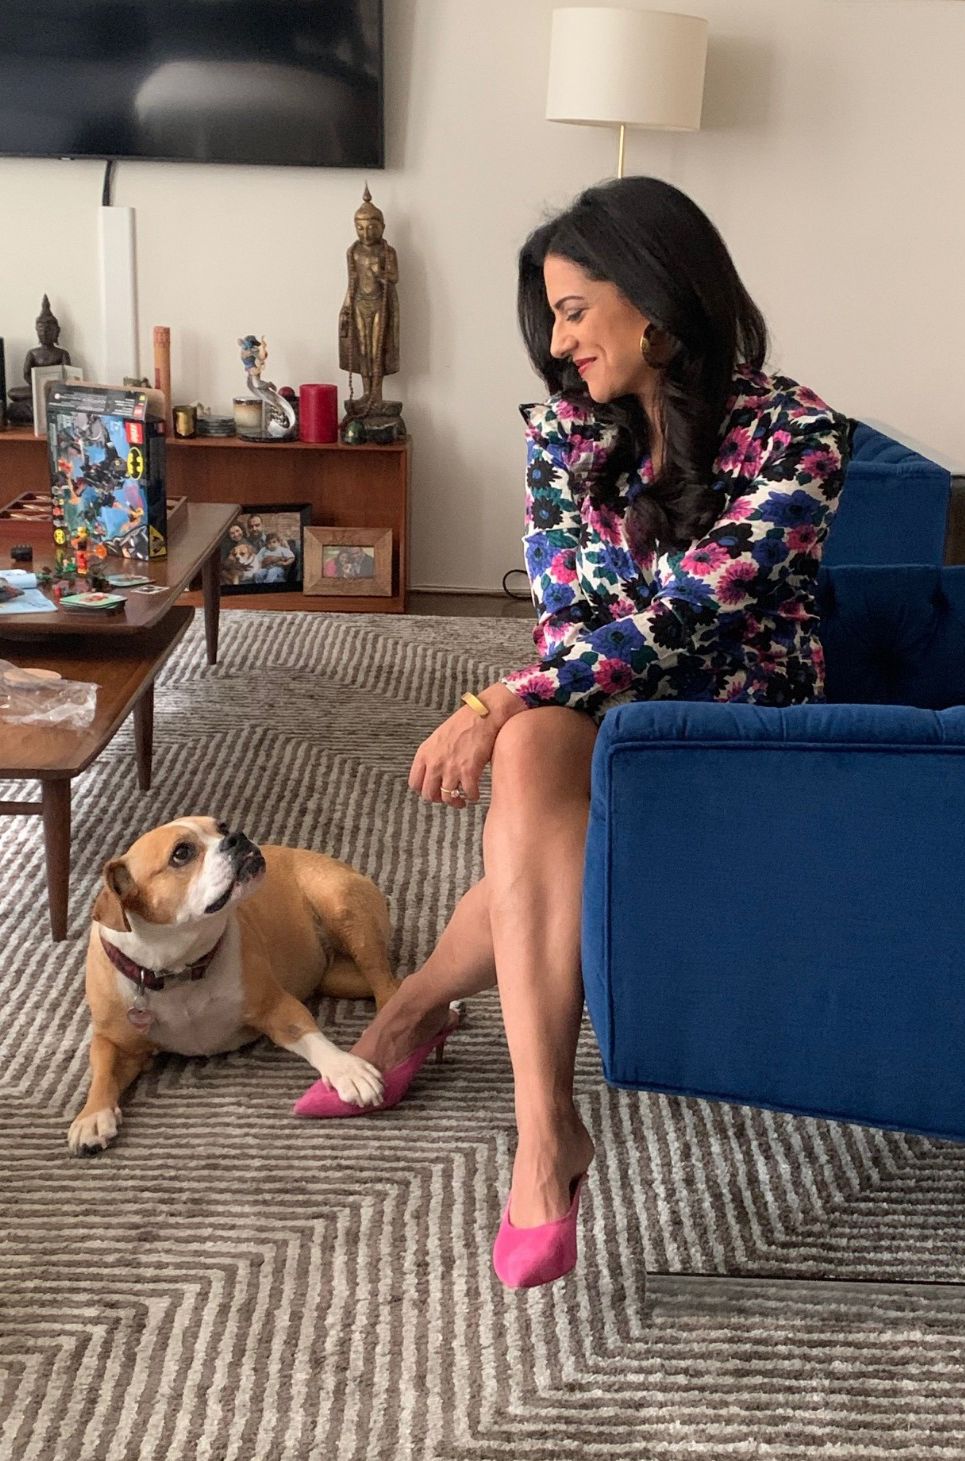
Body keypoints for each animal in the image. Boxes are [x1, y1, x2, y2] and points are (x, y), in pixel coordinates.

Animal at [67, 824, 400, 1151]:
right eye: (181, 853)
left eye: (221, 827)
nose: (236, 837)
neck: (177, 969)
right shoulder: (115, 1042)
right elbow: (103, 1072)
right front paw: (91, 1116)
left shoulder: (277, 1007)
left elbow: (313, 1039)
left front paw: (347, 1070)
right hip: (337, 977)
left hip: (344, 910)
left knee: (385, 983)